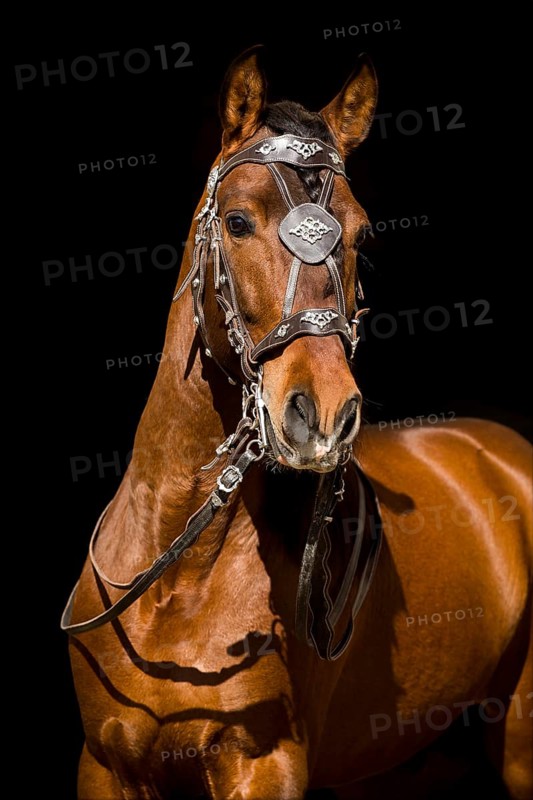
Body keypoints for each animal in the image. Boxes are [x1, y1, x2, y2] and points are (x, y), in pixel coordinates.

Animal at [62, 47, 533, 799]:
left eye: (363, 236)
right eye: (236, 222)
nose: (323, 414)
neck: (175, 579)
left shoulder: (266, 763)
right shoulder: (105, 766)